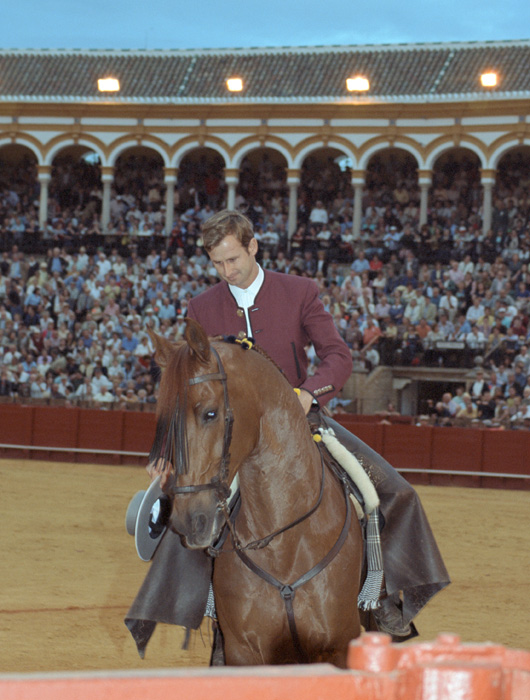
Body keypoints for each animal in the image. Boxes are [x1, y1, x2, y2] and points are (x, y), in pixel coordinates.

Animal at [148, 320, 364, 664]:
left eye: (210, 413)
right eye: (166, 420)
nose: (188, 520)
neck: (283, 543)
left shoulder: (339, 645)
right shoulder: (243, 650)